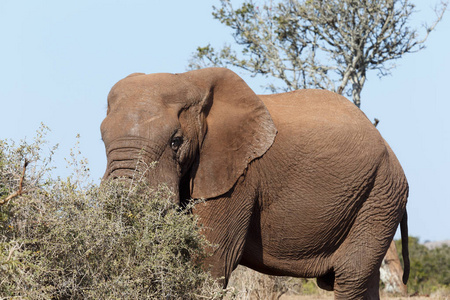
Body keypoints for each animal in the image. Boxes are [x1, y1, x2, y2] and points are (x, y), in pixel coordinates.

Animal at [100, 68, 410, 300]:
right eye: (102, 138)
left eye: (176, 142)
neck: (190, 81)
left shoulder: (239, 177)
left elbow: (210, 260)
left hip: (379, 196)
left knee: (350, 279)